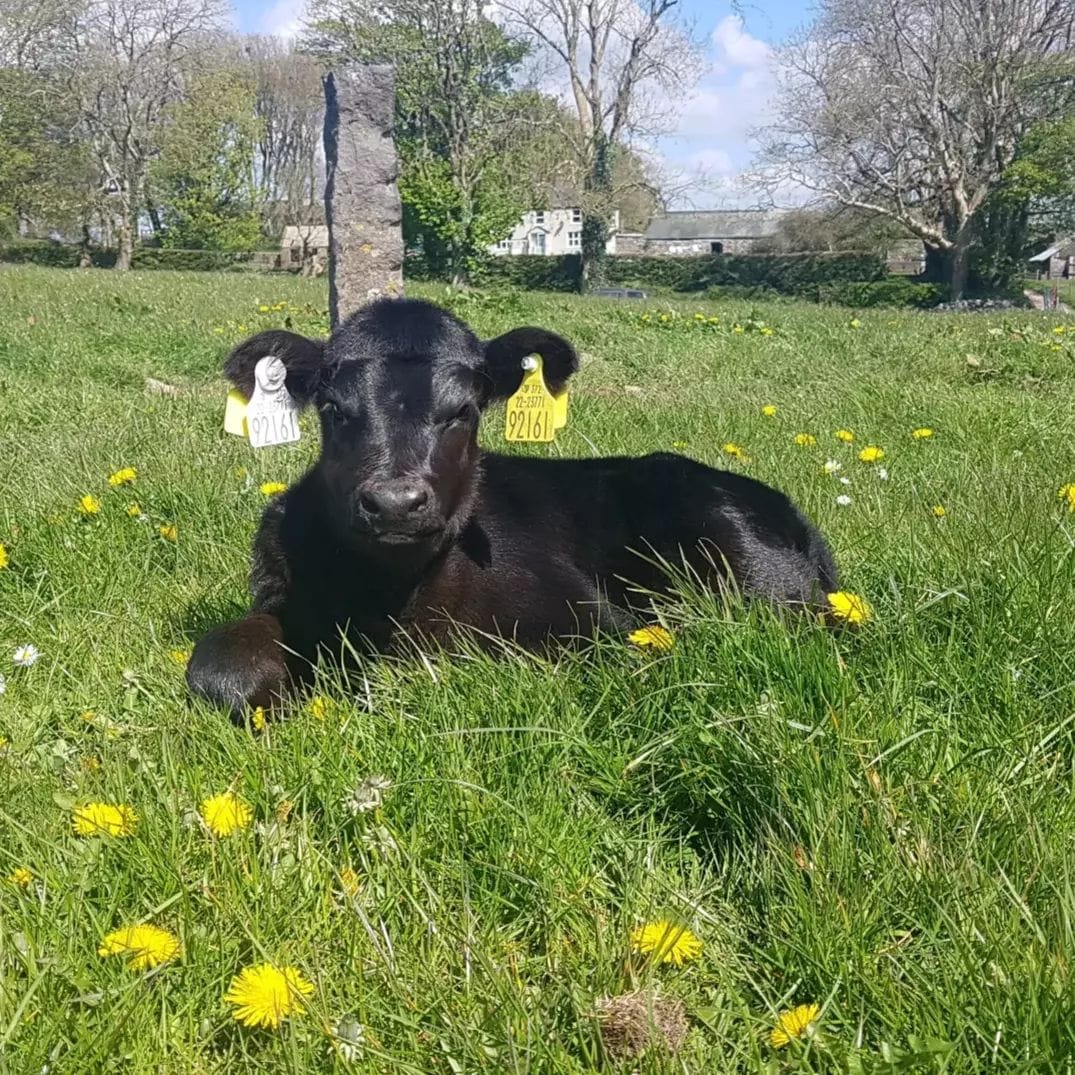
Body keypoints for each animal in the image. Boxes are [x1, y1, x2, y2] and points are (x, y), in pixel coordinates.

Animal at [187, 297, 837, 717]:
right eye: (333, 408)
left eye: (464, 409)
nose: (395, 503)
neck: (391, 601)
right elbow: (218, 668)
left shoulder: (595, 626)